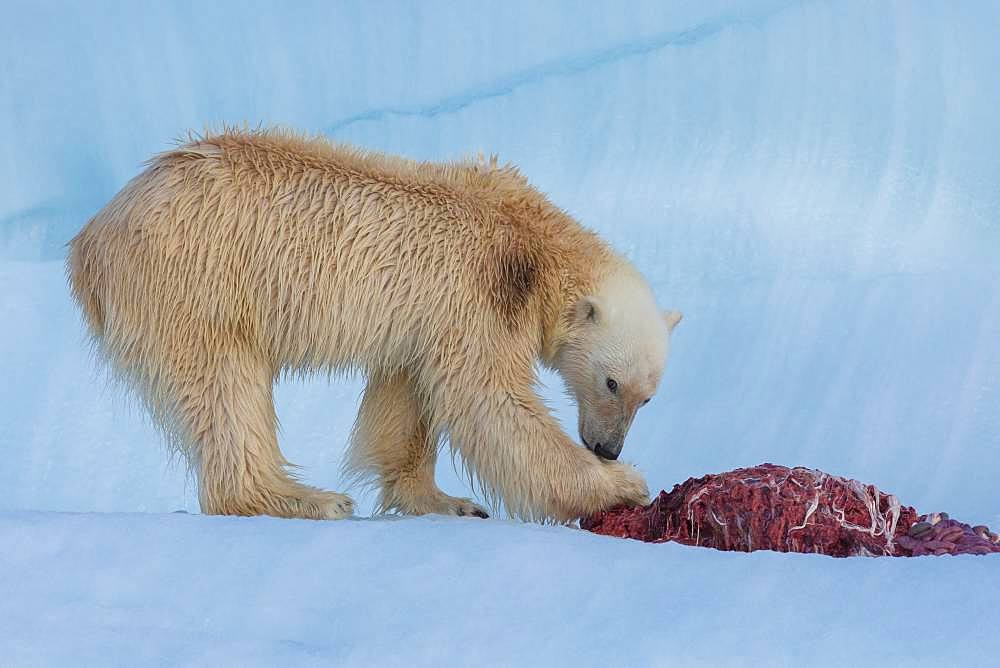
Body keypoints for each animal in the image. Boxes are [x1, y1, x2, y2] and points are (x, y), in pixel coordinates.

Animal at [68, 129, 680, 520]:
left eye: (647, 397)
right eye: (611, 383)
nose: (607, 448)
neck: (529, 241)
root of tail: (91, 240)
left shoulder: (426, 319)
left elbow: (406, 400)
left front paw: (448, 501)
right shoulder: (478, 296)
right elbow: (493, 403)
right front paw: (624, 486)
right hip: (196, 285)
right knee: (226, 388)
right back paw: (305, 499)